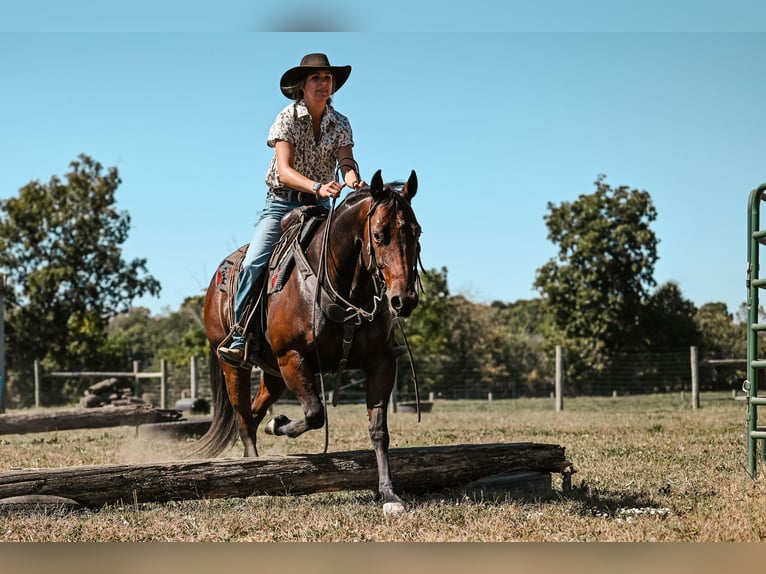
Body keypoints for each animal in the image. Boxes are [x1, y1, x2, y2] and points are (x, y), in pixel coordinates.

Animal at [195, 169, 424, 516]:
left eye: (417, 232)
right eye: (380, 235)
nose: (403, 300)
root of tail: (215, 282)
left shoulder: (381, 363)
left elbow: (379, 431)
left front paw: (390, 495)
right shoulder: (293, 357)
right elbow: (316, 413)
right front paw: (280, 425)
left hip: (273, 373)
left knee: (254, 414)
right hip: (233, 365)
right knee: (244, 419)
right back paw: (254, 478)